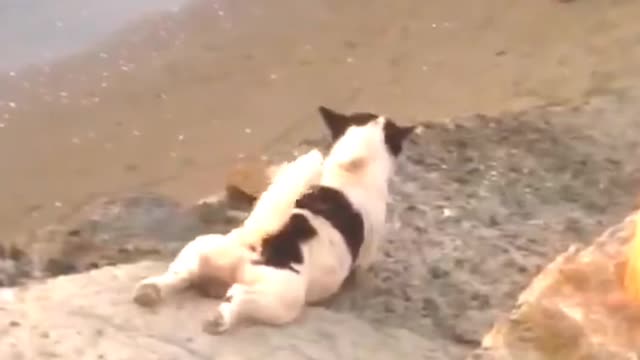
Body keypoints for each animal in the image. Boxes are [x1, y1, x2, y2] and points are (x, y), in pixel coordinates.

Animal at [134, 105, 416, 334]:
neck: (351, 172)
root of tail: (256, 244)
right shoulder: (369, 251)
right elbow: (363, 271)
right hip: (282, 297)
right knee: (238, 296)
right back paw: (219, 319)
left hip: (200, 247)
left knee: (181, 274)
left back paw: (151, 290)